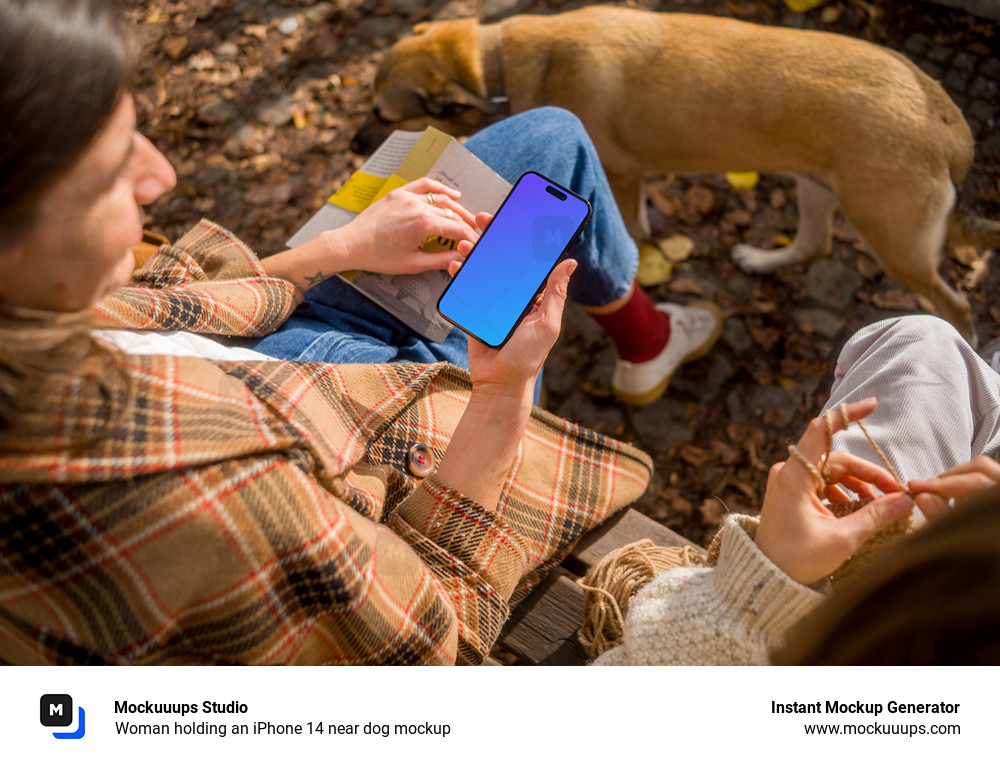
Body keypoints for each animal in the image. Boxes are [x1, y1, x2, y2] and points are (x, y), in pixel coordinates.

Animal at [354, 5, 1000, 342]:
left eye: (383, 112)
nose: (360, 145)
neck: (498, 69)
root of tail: (948, 121)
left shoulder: (621, 173)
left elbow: (631, 228)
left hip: (894, 241)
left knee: (958, 306)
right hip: (816, 187)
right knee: (814, 244)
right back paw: (761, 259)